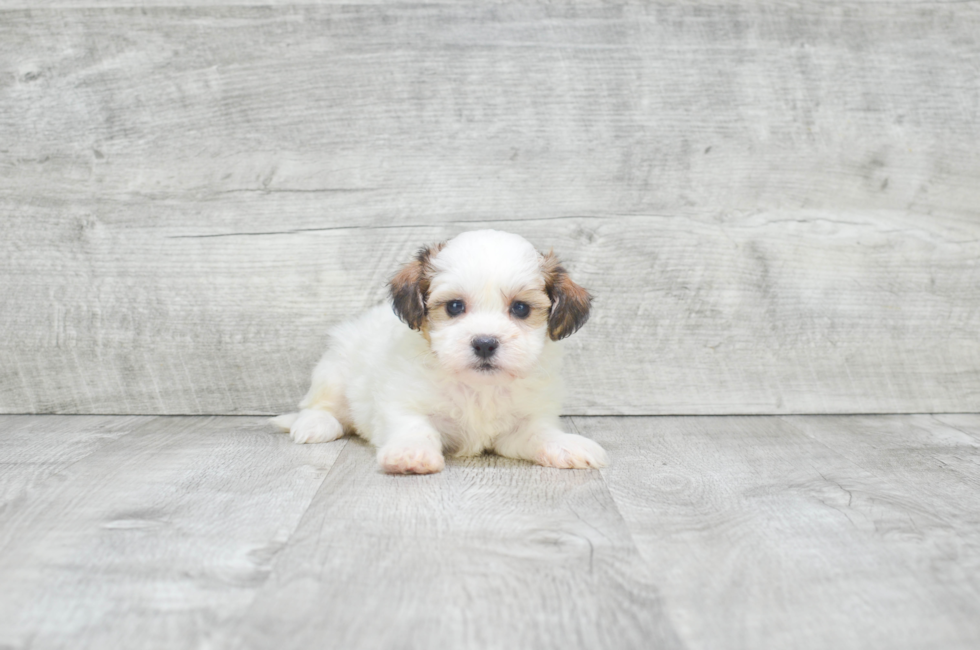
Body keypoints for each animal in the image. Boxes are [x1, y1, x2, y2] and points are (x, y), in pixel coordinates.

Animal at [270, 230, 604, 474]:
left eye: (521, 308)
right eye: (454, 306)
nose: (485, 343)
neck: (478, 388)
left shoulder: (522, 425)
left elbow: (539, 434)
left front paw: (568, 445)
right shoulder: (404, 403)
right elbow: (416, 427)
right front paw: (410, 453)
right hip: (335, 372)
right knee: (320, 405)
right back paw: (314, 425)